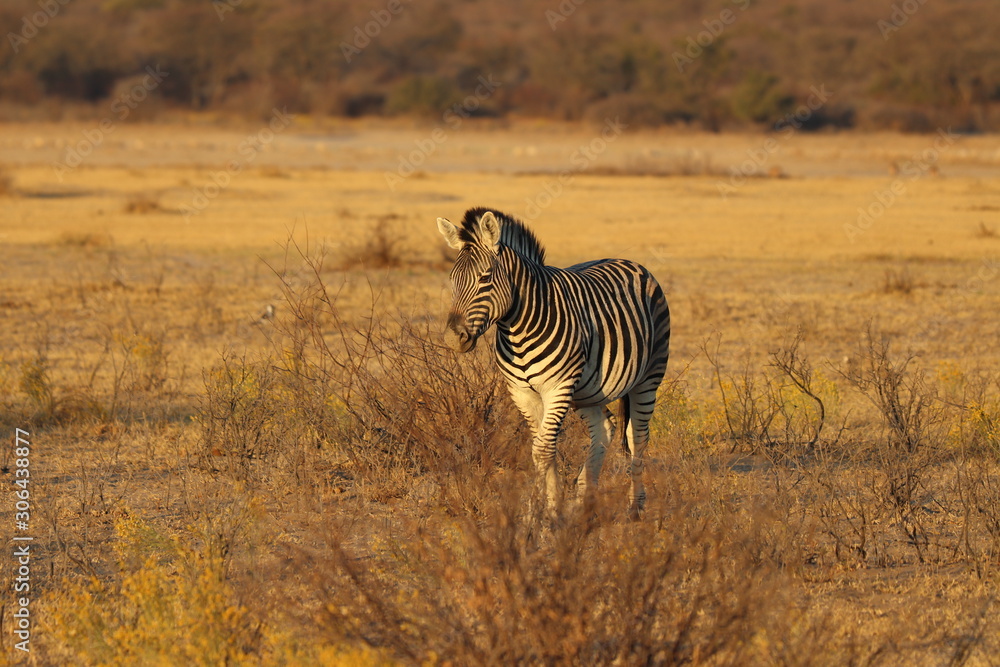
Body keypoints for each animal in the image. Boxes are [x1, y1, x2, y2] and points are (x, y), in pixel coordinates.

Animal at [437, 207, 670, 517]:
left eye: (485, 278)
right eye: (453, 279)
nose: (453, 339)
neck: (518, 327)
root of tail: (631, 262)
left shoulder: (557, 387)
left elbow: (542, 449)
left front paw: (540, 515)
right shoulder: (522, 393)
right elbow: (542, 447)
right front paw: (548, 508)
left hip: (648, 377)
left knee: (637, 437)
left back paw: (635, 508)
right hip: (588, 390)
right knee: (605, 429)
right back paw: (585, 502)